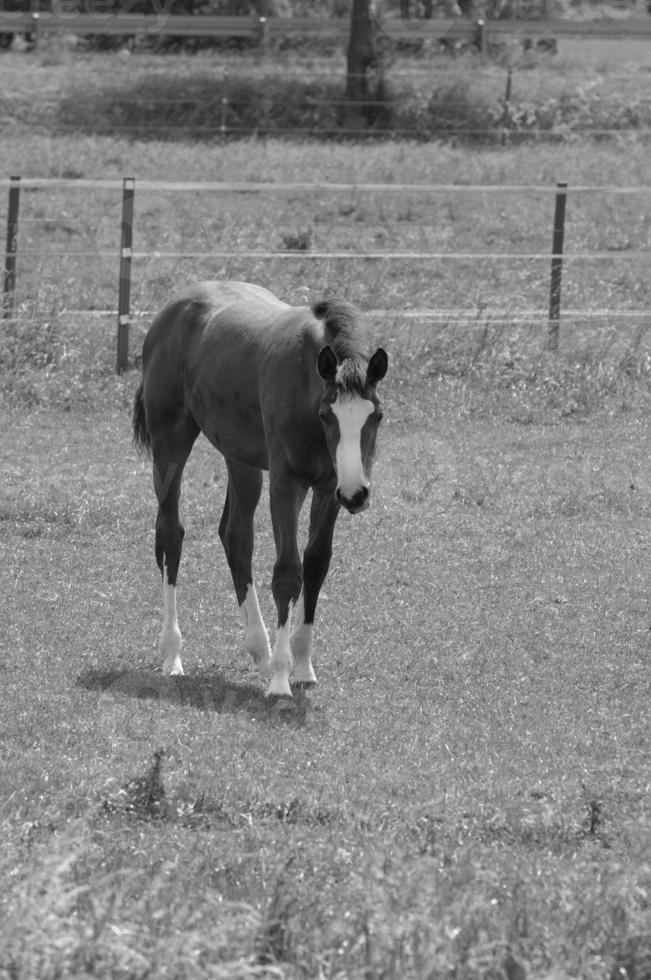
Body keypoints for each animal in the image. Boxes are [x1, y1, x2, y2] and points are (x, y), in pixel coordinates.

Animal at [132, 280, 388, 700]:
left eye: (377, 416)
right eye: (326, 415)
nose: (356, 495)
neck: (303, 382)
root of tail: (171, 310)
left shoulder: (328, 487)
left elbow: (316, 565)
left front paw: (302, 666)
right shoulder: (287, 482)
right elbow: (287, 573)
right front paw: (282, 680)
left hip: (242, 459)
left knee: (236, 537)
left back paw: (259, 649)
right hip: (170, 443)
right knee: (171, 535)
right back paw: (173, 654)